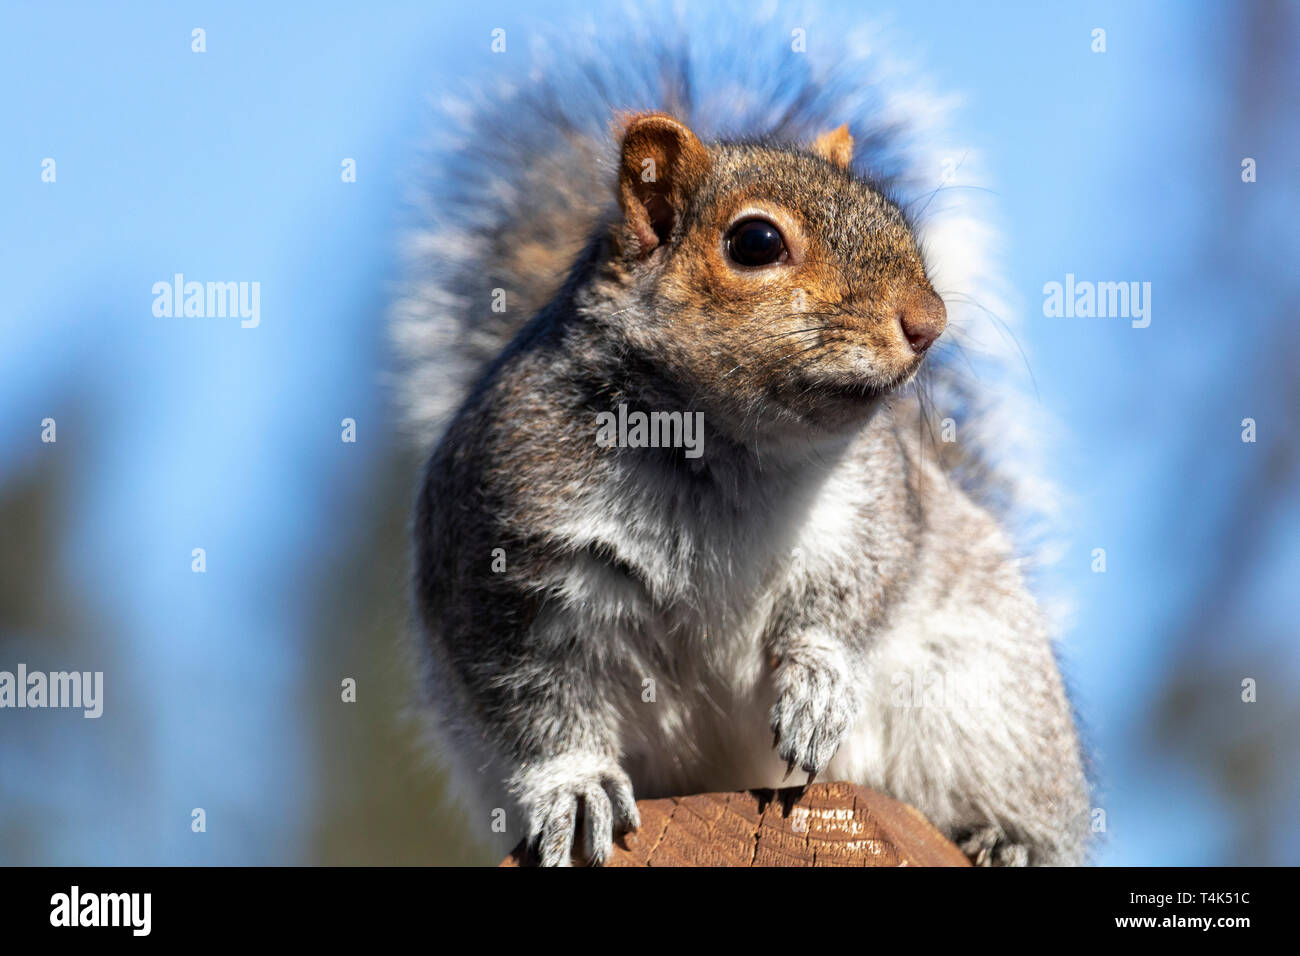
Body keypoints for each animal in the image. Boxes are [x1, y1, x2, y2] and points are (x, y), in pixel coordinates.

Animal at [395, 14, 1097, 868]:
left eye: (897, 220)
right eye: (756, 242)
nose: (929, 323)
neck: (724, 444)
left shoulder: (876, 505)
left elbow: (861, 592)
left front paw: (820, 682)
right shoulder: (506, 556)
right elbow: (535, 702)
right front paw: (574, 784)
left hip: (988, 693)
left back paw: (1009, 837)